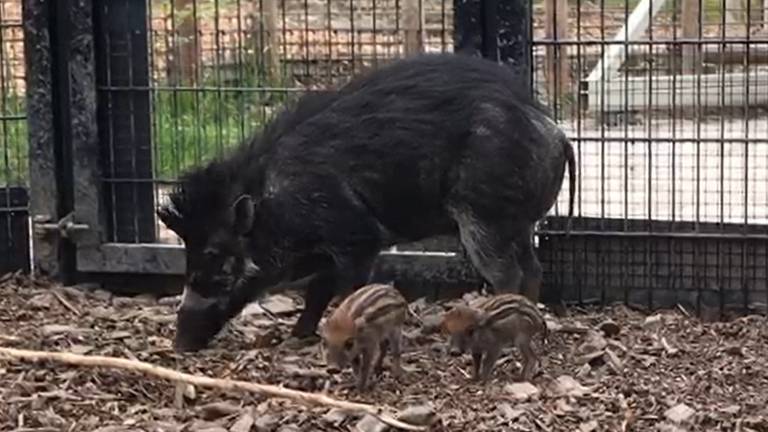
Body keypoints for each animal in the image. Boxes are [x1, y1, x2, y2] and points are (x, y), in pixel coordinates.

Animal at [158, 53, 576, 352]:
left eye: (216, 255)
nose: (179, 346)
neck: (274, 203)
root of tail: (555, 131)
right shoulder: (324, 252)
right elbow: (316, 292)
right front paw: (297, 337)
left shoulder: (356, 237)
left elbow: (347, 289)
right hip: (517, 223)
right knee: (533, 268)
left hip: (483, 216)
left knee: (508, 273)